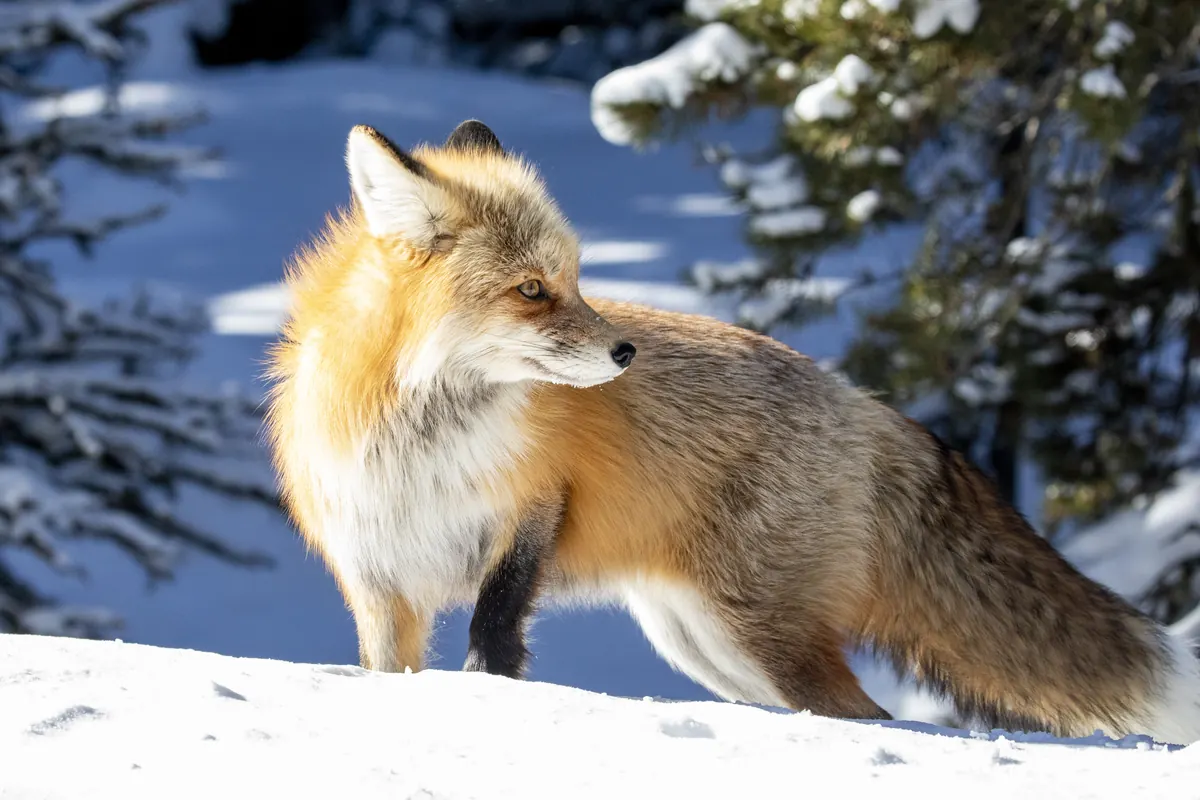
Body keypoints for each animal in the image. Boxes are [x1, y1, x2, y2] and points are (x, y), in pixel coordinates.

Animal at [264, 118, 1200, 745]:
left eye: (577, 280)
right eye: (532, 290)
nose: (625, 351)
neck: (420, 439)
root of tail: (861, 401)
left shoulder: (532, 512)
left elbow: (494, 635)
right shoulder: (377, 578)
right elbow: (396, 668)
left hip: (753, 634)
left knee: (870, 715)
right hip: (708, 645)